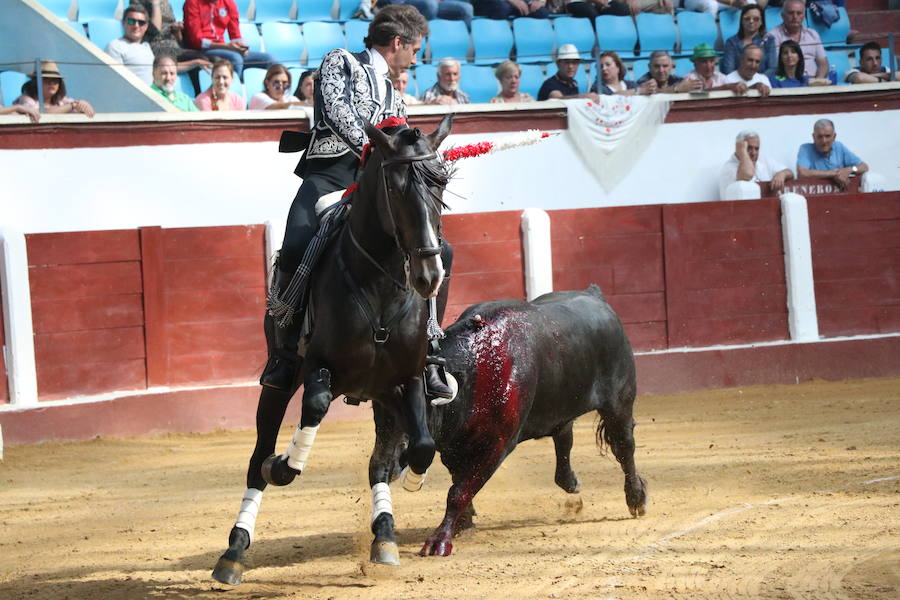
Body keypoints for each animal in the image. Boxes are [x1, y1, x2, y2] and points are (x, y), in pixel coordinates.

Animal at [213, 115, 458, 584]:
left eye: (441, 183)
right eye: (395, 188)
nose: (428, 275)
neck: (380, 284)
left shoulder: (408, 378)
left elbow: (422, 445)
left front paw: (412, 479)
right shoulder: (317, 367)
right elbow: (314, 408)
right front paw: (285, 464)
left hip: (383, 394)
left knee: (379, 461)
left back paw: (384, 536)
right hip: (279, 382)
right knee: (257, 458)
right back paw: (234, 550)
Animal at [370, 284, 648, 556]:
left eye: (414, 410)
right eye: (378, 415)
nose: (383, 466)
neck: (474, 369)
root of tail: (595, 295)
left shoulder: (497, 444)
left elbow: (458, 492)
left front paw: (440, 540)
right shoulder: (453, 446)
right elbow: (459, 482)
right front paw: (463, 523)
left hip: (620, 404)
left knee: (624, 447)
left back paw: (636, 498)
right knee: (564, 436)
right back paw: (571, 482)